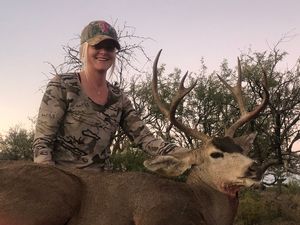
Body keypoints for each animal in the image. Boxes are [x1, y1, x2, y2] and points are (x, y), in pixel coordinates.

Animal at [0, 49, 268, 225]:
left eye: (242, 149)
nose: (256, 167)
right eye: (215, 154)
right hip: (52, 197)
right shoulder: (158, 216)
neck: (201, 205)